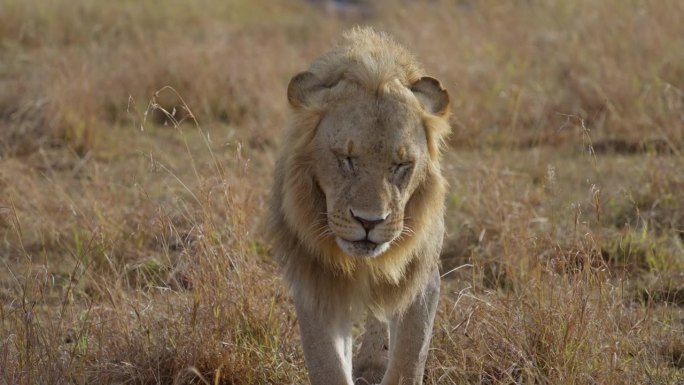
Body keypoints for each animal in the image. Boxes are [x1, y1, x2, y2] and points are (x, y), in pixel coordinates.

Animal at [270, 27, 452, 384]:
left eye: (401, 165)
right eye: (346, 159)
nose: (370, 222)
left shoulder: (421, 278)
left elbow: (408, 360)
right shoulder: (315, 280)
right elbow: (328, 365)